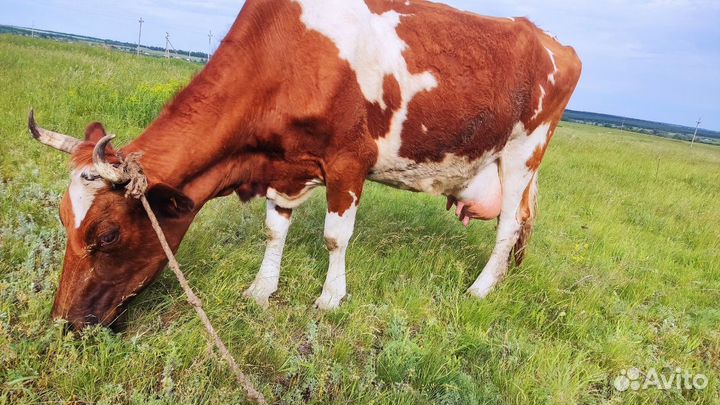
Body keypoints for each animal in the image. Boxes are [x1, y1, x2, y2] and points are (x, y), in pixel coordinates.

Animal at [29, 0, 581, 329]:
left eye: (107, 235)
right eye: (62, 218)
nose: (62, 323)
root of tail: (553, 42)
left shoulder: (349, 161)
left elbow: (336, 236)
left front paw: (331, 297)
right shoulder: (285, 165)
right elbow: (275, 229)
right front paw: (261, 288)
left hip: (523, 150)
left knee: (508, 226)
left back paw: (482, 288)